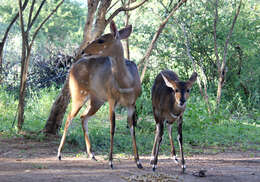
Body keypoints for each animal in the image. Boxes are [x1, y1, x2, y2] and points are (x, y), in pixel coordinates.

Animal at [57, 20, 142, 168]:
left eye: (101, 40)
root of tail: (73, 67)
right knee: (69, 118)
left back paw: (92, 154)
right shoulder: (112, 100)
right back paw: (59, 154)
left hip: (96, 101)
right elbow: (112, 127)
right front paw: (111, 161)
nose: (83, 51)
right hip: (79, 96)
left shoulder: (131, 104)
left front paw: (138, 162)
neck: (127, 83)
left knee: (83, 117)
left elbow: (132, 128)